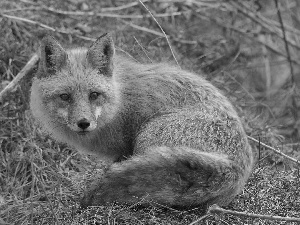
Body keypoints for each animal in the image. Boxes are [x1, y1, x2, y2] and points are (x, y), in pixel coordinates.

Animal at [29, 33, 253, 209]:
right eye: (65, 97)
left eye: (94, 95)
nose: (83, 123)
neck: (120, 101)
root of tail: (235, 167)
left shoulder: (125, 149)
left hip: (148, 137)